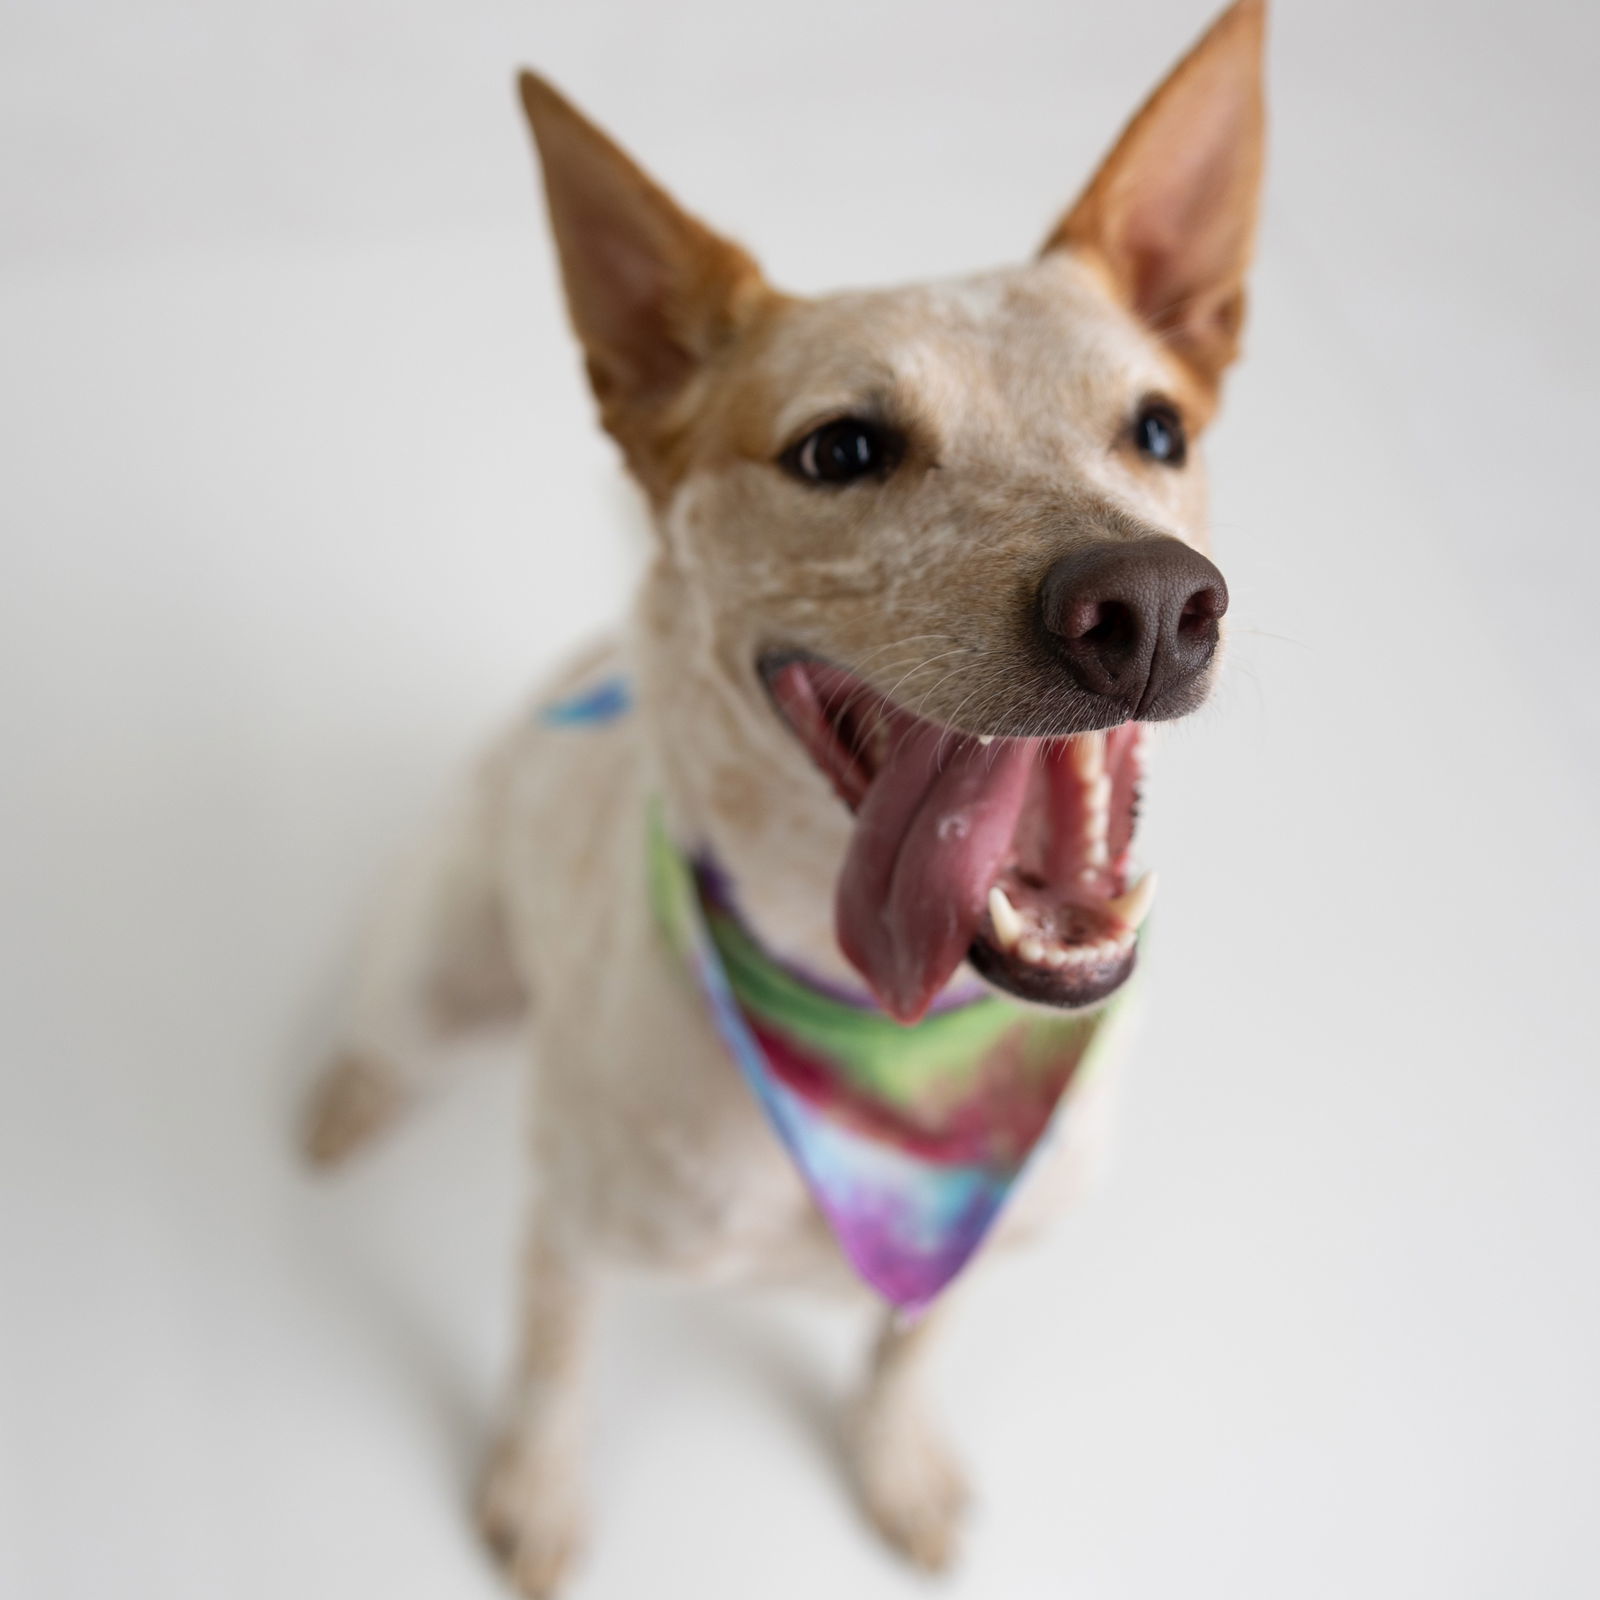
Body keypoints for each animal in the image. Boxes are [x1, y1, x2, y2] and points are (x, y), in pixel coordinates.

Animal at [305, 6, 1267, 1593]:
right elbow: (552, 1367)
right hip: (439, 967)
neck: (884, 1031)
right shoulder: (568, 1219)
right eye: (843, 449)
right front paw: (538, 1495)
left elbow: (907, 1349)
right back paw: (343, 1096)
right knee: (385, 1026)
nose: (1146, 605)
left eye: (1157, 430)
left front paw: (895, 1461)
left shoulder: (973, 1245)